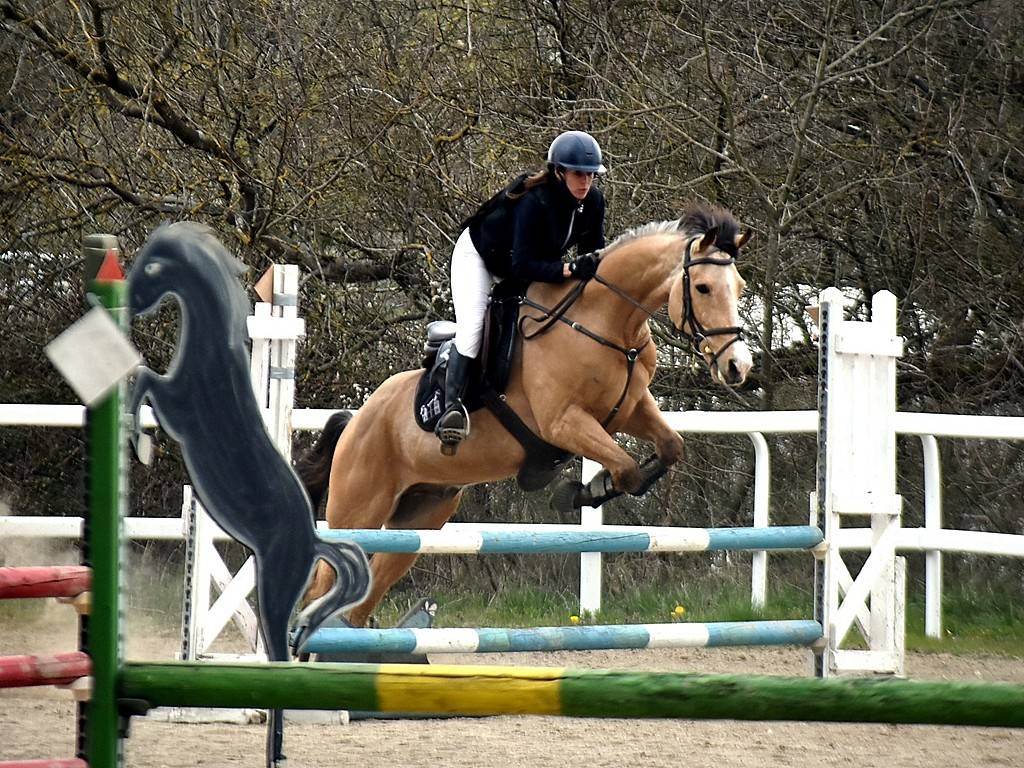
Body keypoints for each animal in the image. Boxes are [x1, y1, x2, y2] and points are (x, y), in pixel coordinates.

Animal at [298, 202, 753, 627]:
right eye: (703, 287)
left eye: (741, 288)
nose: (738, 366)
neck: (605, 323)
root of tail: (356, 419)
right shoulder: (563, 422)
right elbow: (625, 468)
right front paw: (579, 493)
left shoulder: (629, 410)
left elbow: (668, 447)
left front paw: (588, 490)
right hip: (358, 508)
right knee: (322, 585)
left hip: (418, 519)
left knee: (363, 598)